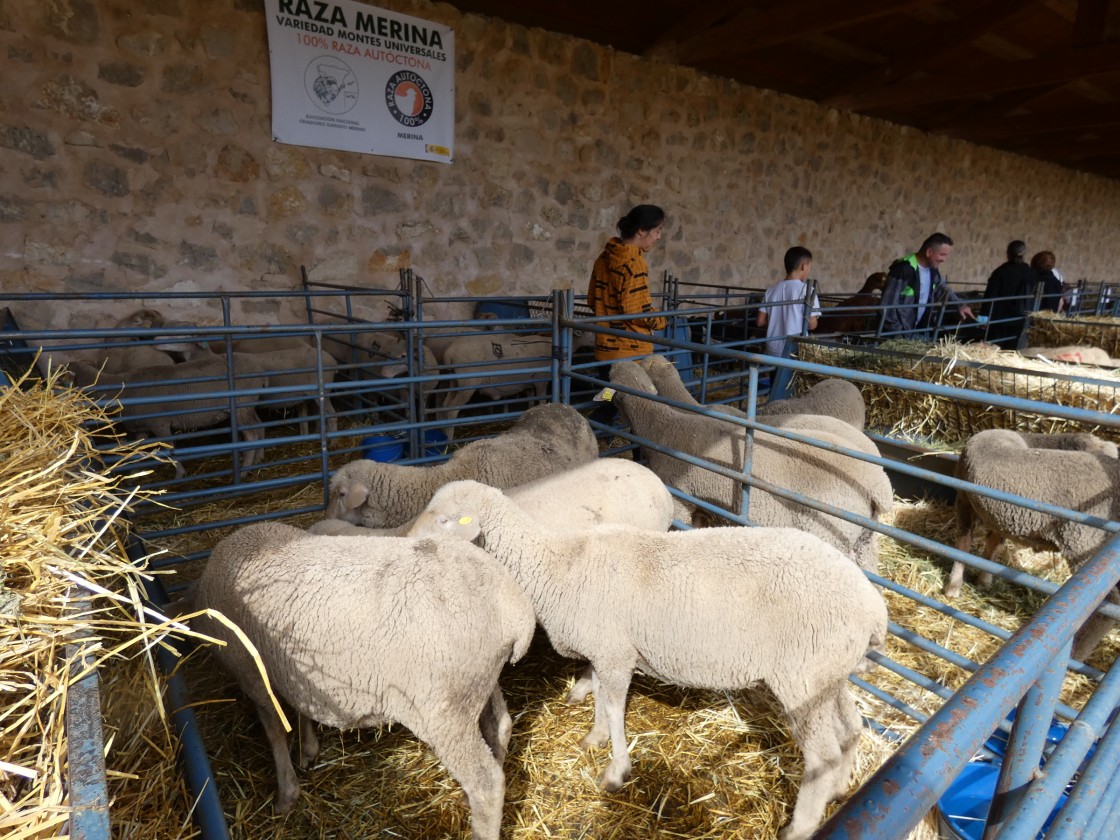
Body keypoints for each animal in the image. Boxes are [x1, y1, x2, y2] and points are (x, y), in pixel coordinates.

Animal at [185, 524, 535, 837]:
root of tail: (514, 609)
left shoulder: (253, 673)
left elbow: (273, 732)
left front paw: (286, 795)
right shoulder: (293, 668)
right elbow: (301, 709)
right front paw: (308, 750)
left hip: (444, 710)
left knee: (486, 783)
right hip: (478, 683)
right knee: (500, 726)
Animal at [407, 479, 887, 840]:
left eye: (446, 519)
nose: (406, 546)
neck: (557, 564)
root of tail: (872, 604)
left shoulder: (615, 652)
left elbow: (616, 707)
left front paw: (616, 769)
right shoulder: (605, 650)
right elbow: (603, 699)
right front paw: (595, 737)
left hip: (802, 676)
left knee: (822, 754)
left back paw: (801, 826)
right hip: (826, 674)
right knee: (851, 728)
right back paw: (842, 789)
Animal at [945, 430, 1120, 663]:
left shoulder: (964, 496)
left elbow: (963, 544)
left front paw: (953, 587)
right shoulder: (1001, 515)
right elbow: (993, 545)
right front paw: (984, 579)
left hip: (1084, 540)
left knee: (1108, 602)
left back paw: (1076, 654)